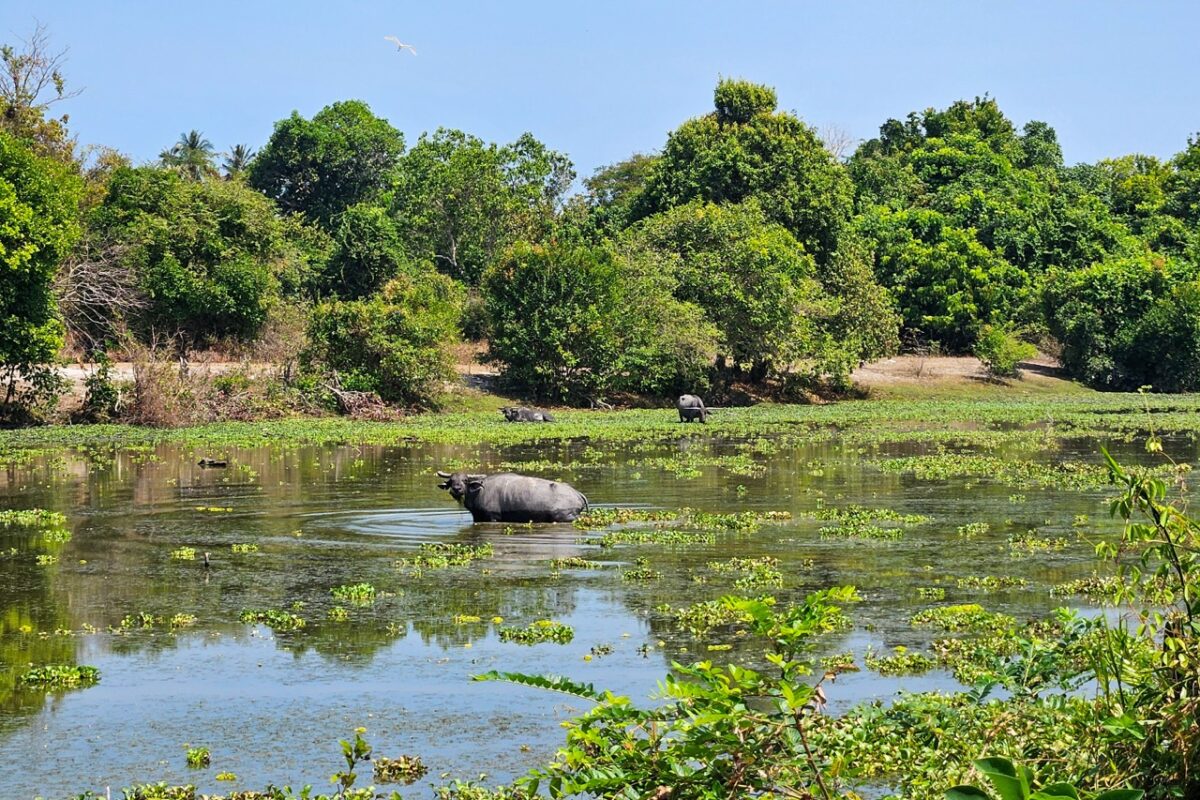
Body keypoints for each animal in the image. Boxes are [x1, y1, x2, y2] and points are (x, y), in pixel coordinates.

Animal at [436, 471, 588, 523]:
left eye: (465, 480)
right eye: (451, 480)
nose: (456, 489)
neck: (479, 492)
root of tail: (577, 493)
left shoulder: (492, 518)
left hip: (566, 516)